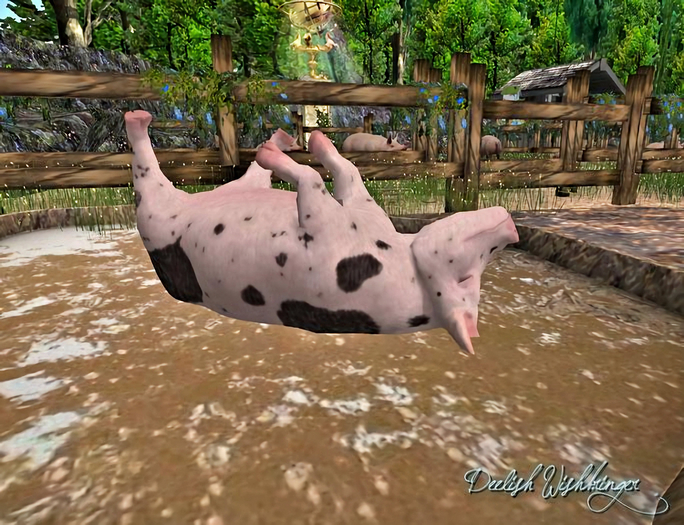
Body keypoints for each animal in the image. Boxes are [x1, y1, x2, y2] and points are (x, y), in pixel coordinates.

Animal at [124, 110, 519, 355]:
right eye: (476, 268)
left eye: (469, 276)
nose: (511, 226)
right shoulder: (363, 210)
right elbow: (348, 174)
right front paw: (318, 142)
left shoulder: (322, 234)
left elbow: (313, 180)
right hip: (224, 192)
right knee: (250, 175)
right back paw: (280, 139)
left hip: (156, 219)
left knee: (147, 177)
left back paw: (138, 119)